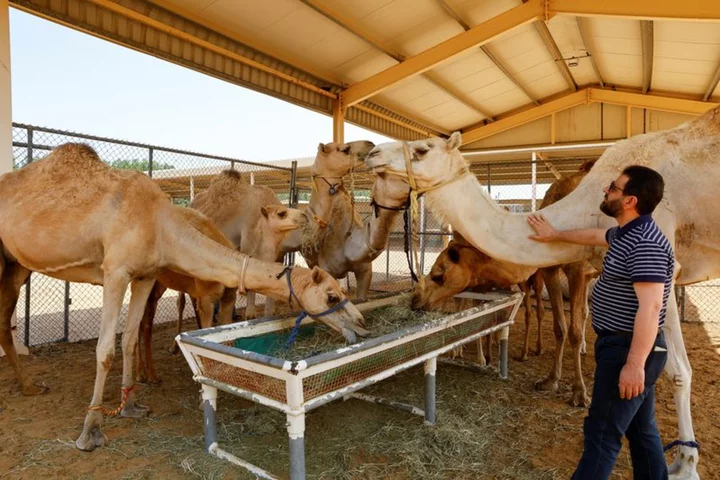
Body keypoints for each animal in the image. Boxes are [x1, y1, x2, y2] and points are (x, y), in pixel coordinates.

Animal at [0, 144, 366, 452]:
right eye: (331, 295)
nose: (361, 323)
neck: (161, 225)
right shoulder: (115, 272)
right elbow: (105, 350)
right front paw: (91, 431)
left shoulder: (145, 275)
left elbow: (128, 338)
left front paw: (131, 406)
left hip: (17, 264)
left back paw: (31, 386)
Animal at [362, 109, 720, 476]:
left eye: (422, 149)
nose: (372, 152)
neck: (591, 208)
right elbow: (567, 328)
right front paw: (552, 381)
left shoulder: (660, 267)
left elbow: (677, 372)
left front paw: (685, 465)